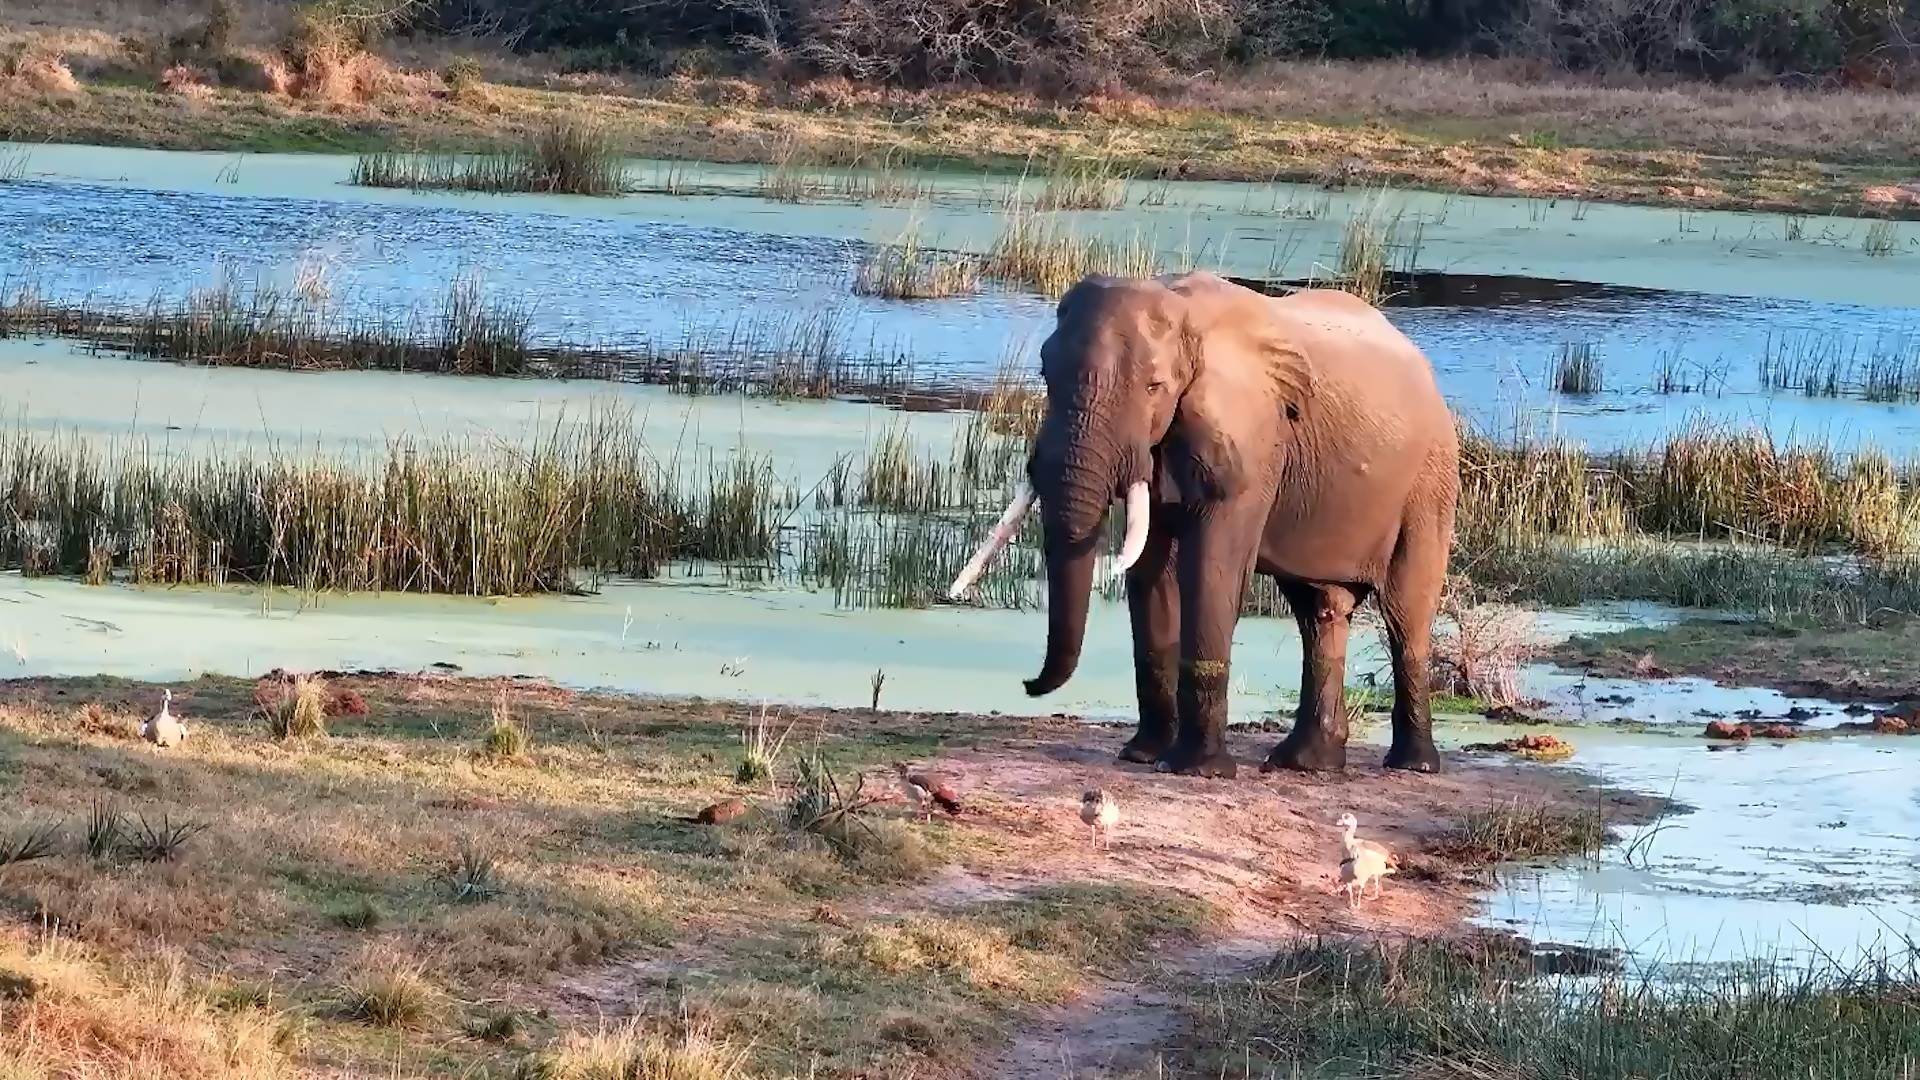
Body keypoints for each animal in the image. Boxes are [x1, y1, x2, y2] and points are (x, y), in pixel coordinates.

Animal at [948, 271, 1459, 778]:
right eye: (1045, 376)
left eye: (1154, 387)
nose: (1026, 683)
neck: (1181, 312)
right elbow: (1152, 569)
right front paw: (1143, 755)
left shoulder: (1250, 442)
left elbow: (1213, 568)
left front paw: (1198, 769)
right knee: (1320, 612)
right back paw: (1306, 763)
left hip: (1430, 480)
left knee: (1405, 613)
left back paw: (1412, 765)